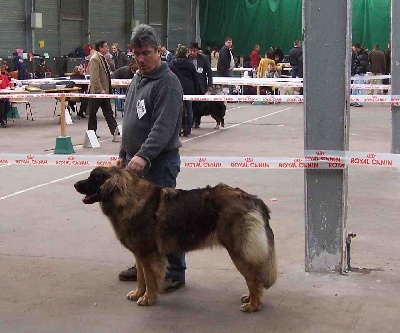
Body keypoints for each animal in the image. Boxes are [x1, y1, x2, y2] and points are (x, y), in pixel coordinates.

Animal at [74, 166, 276, 312]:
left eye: (95, 178)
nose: (75, 185)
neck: (127, 199)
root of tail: (253, 200)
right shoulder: (139, 254)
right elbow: (140, 276)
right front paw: (138, 293)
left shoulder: (149, 254)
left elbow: (149, 278)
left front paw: (148, 298)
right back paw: (250, 298)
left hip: (239, 251)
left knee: (253, 278)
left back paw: (253, 305)